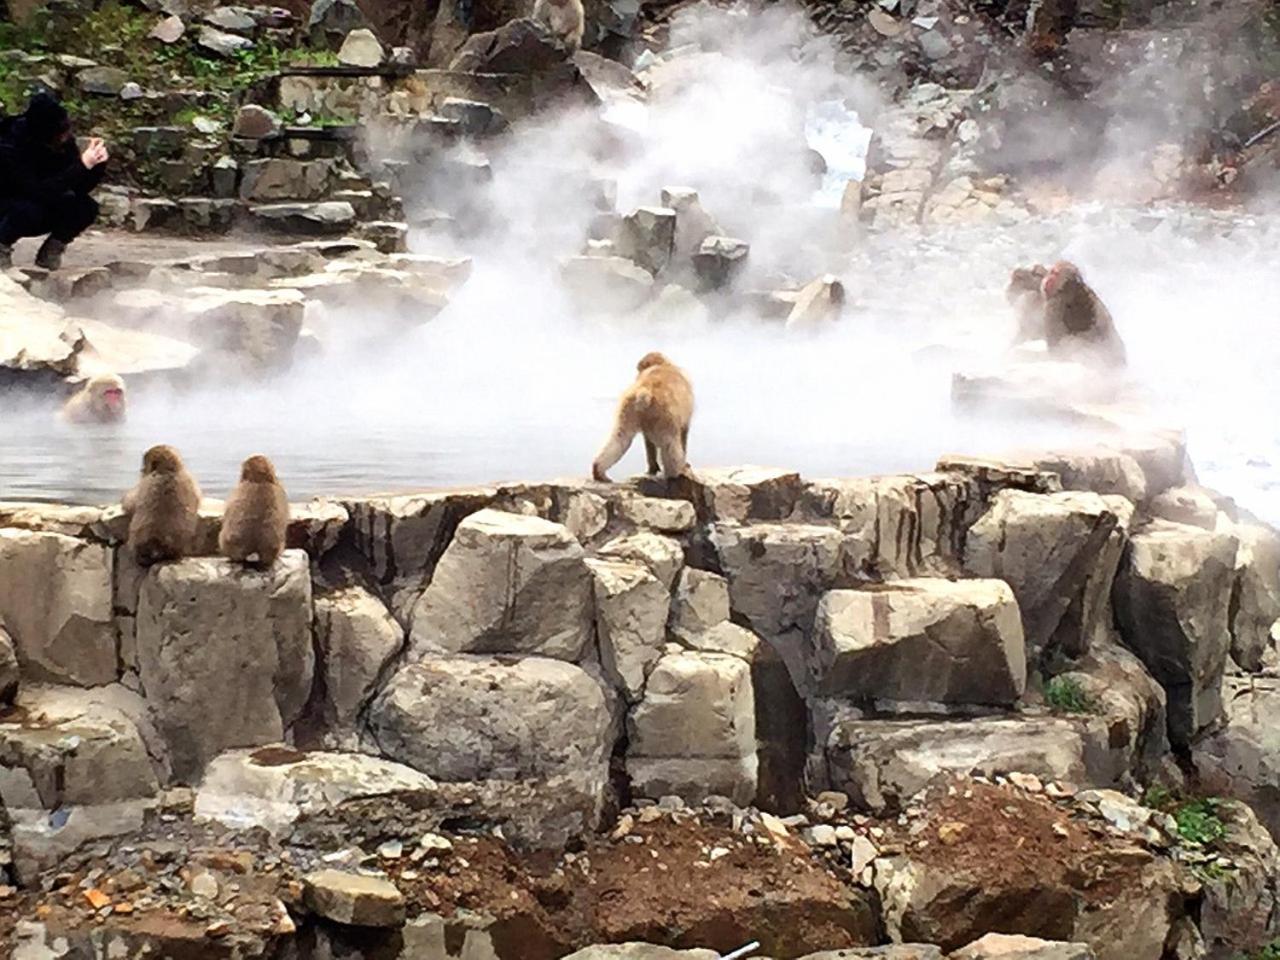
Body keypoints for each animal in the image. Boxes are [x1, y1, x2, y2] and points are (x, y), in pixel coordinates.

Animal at [593, 353, 696, 483]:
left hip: (629, 409)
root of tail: (644, 392)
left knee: (620, 438)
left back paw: (599, 471)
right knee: (670, 443)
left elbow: (647, 440)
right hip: (664, 415)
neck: (663, 364)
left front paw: (652, 468)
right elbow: (684, 432)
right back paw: (676, 472)